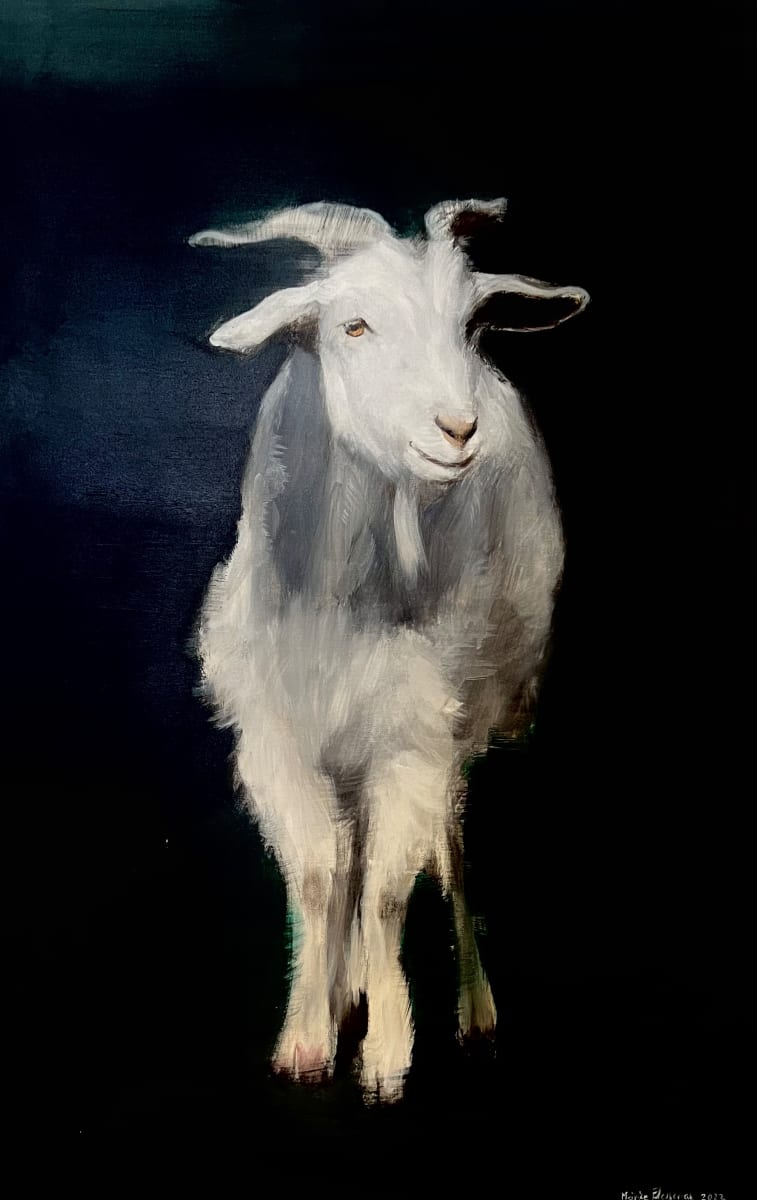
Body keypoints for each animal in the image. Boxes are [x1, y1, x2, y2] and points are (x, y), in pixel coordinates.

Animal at [189, 199, 589, 1101]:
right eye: (354, 325)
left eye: (470, 324)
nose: (457, 428)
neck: (338, 597)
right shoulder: (275, 742)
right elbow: (319, 873)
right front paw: (307, 1039)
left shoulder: (412, 738)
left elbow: (381, 889)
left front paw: (385, 1056)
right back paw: (346, 994)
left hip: (469, 714)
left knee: (447, 841)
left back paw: (471, 1010)